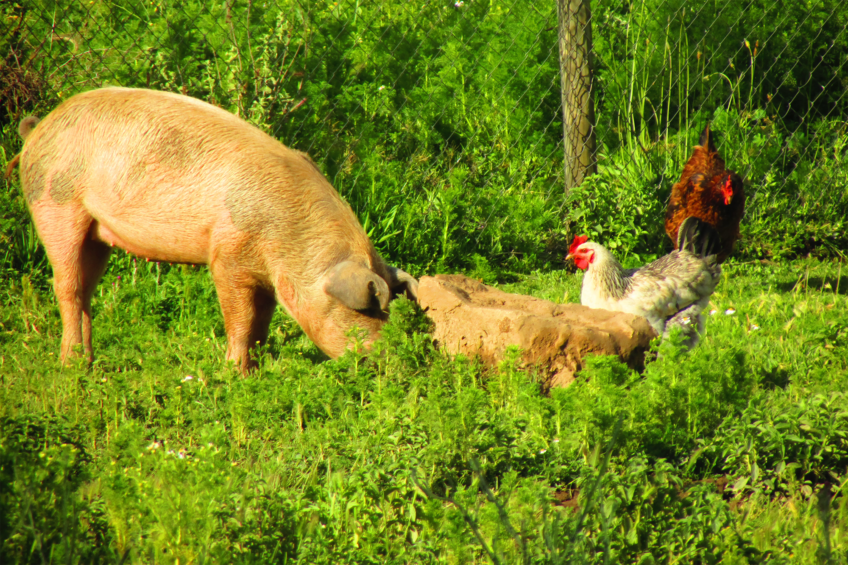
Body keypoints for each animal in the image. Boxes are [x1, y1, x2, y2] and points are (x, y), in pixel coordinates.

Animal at [5, 87, 418, 370]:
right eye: (371, 310)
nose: (394, 361)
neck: (290, 241)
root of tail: (38, 128)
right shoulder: (228, 256)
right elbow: (241, 318)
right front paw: (236, 373)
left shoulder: (266, 277)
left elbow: (262, 322)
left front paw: (257, 369)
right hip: (54, 203)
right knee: (67, 286)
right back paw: (72, 364)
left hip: (98, 233)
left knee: (87, 288)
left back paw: (89, 361)